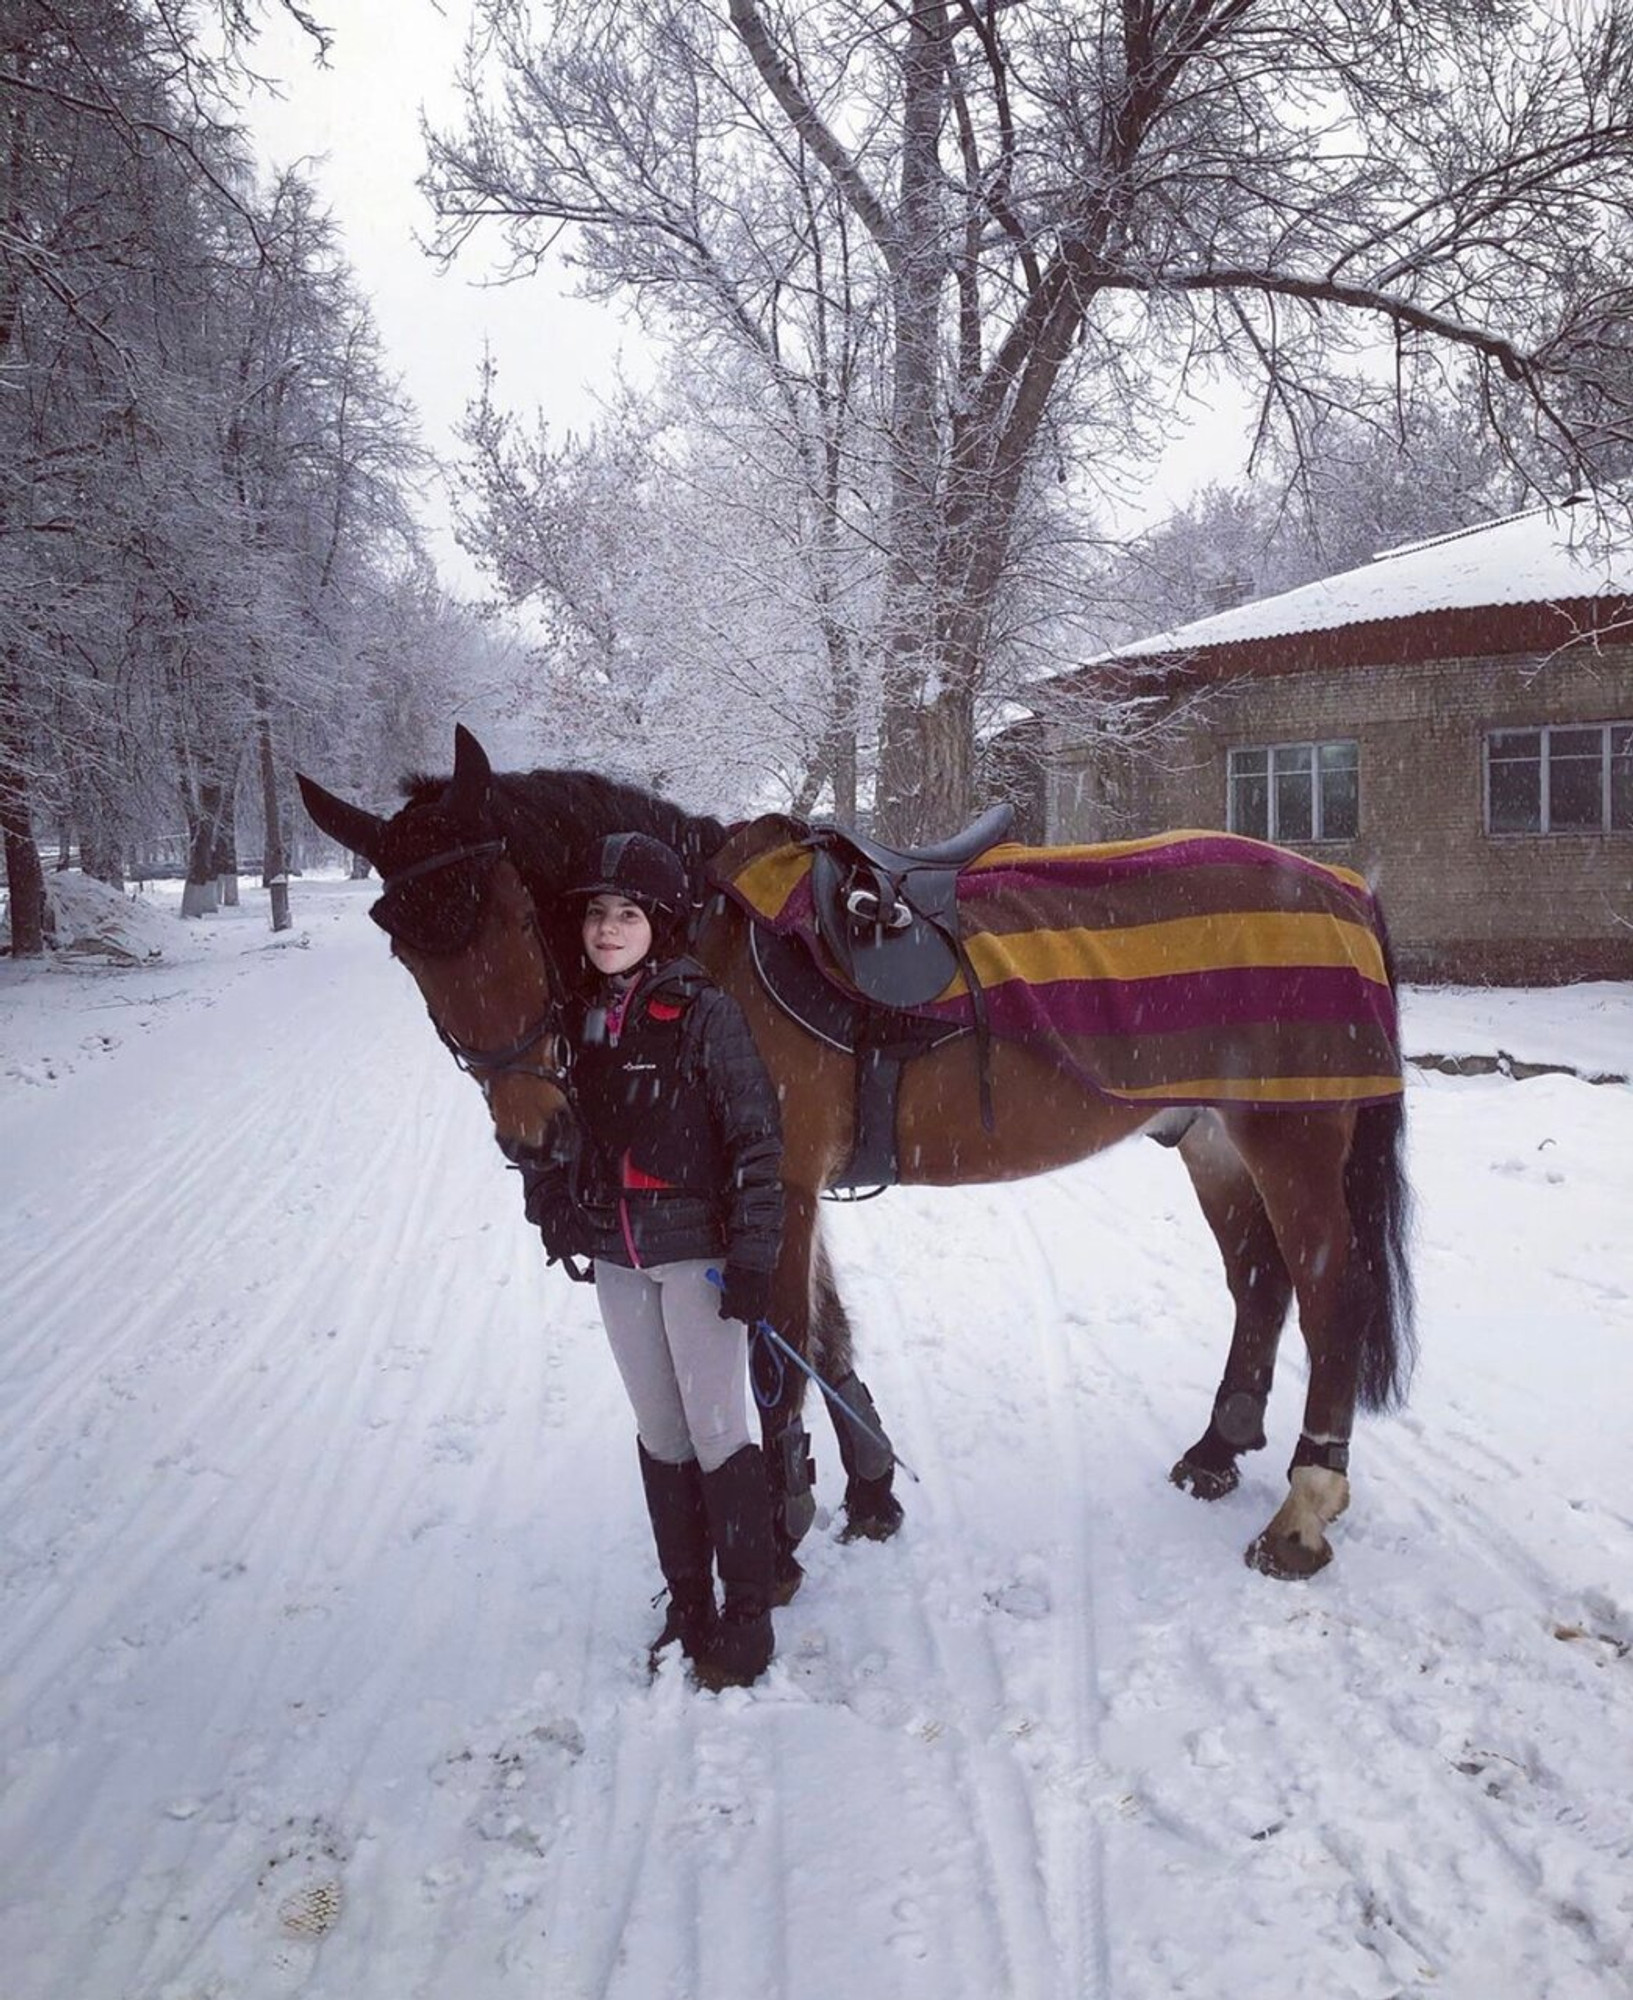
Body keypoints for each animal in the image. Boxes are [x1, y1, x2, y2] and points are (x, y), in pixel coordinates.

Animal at [302, 728, 1416, 1584]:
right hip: (1213, 1138)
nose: (536, 1131)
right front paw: (872, 1489)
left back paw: (1302, 1512)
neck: (699, 944)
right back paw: (1218, 1450)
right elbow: (827, 1338)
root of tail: (1340, 885)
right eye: (402, 938)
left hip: (1292, 1137)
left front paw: (782, 1526)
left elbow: (779, 1352)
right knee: (1260, 1282)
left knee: (1331, 1292)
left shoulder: (781, 1185)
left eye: (502, 908)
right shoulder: (786, 1193)